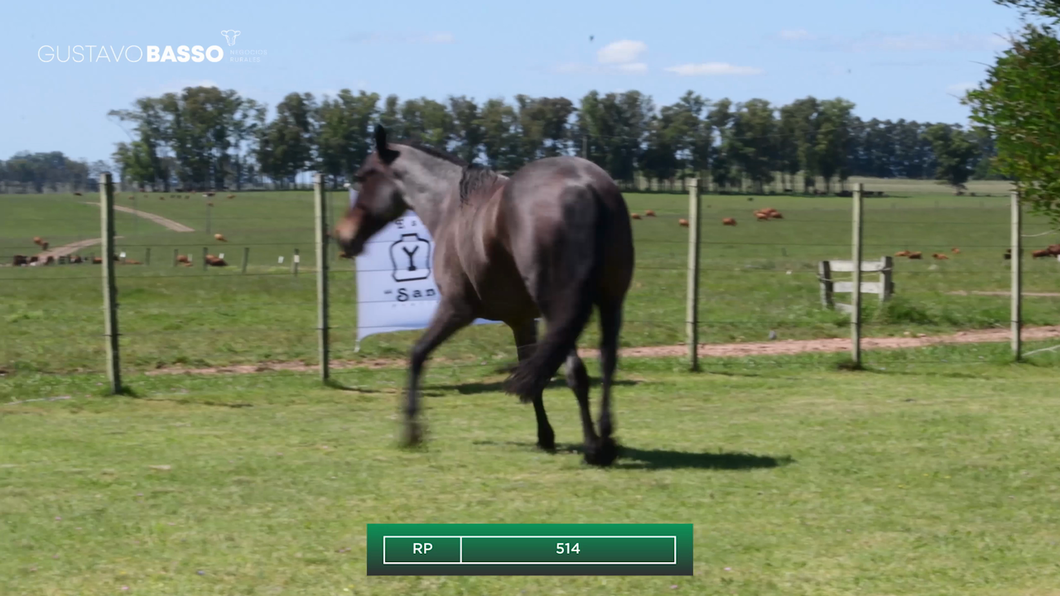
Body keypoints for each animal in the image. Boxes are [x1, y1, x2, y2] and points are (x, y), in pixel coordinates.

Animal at [332, 125, 627, 466]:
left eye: (362, 176)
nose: (343, 236)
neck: (452, 207)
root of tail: (585, 185)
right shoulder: (522, 320)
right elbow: (530, 371)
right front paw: (545, 436)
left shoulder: (456, 309)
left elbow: (417, 355)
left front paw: (412, 432)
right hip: (610, 302)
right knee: (607, 362)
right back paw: (607, 440)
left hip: (560, 312)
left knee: (576, 372)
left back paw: (594, 448)